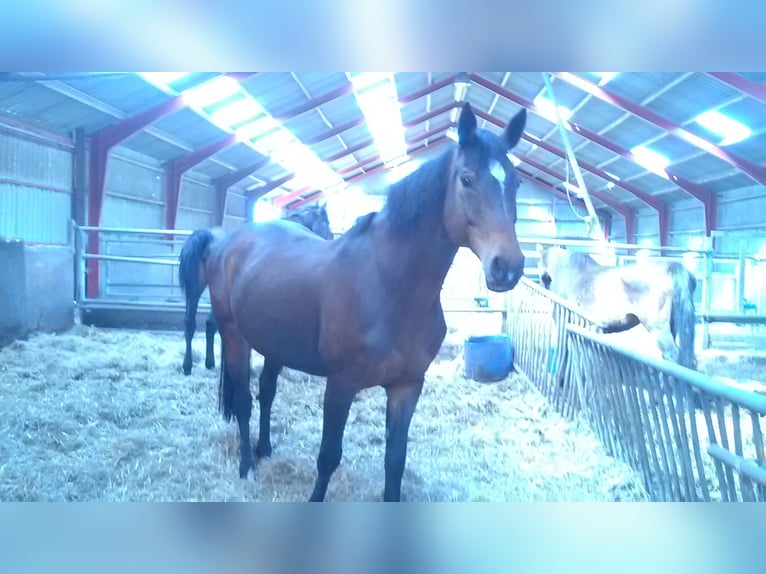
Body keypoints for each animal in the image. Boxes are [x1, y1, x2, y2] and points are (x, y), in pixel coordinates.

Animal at [536, 245, 697, 370]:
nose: (543, 283)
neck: (568, 273)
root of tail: (671, 267)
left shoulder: (563, 323)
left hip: (658, 329)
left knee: (673, 356)